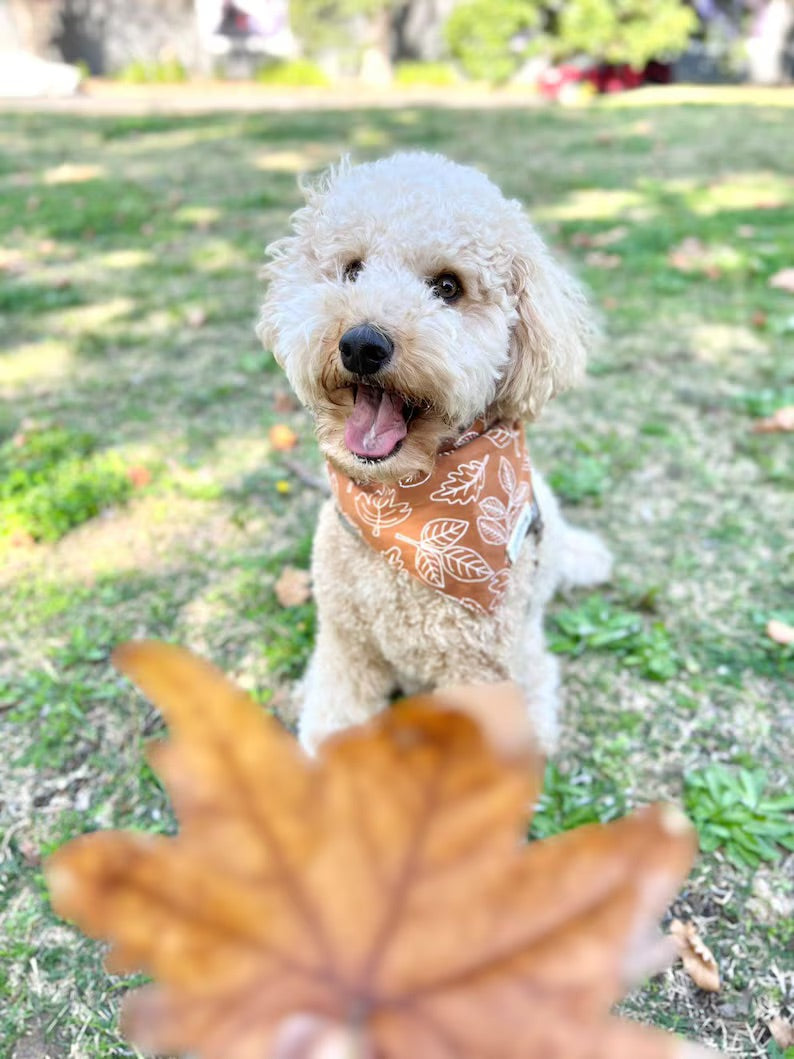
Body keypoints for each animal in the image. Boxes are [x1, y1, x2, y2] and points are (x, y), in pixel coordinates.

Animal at [261, 153, 614, 758]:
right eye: (352, 270)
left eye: (448, 286)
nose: (362, 343)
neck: (407, 511)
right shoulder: (347, 647)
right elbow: (334, 717)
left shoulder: (480, 673)